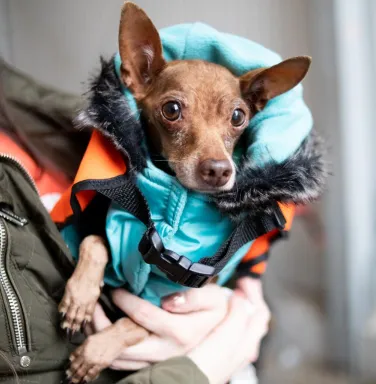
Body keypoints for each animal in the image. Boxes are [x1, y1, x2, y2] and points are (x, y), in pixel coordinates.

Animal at [58, 1, 312, 382]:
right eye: (172, 109)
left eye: (238, 116)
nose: (220, 170)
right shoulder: (107, 231)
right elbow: (94, 241)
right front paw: (80, 297)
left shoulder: (175, 299)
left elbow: (134, 325)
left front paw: (94, 352)